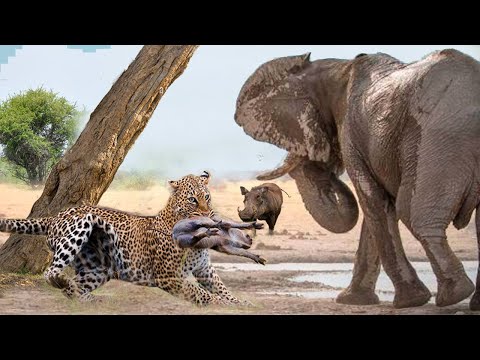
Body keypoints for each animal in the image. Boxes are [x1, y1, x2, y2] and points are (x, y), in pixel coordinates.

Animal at [0, 170, 248, 306]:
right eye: (192, 200)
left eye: (207, 197)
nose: (208, 215)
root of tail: (56, 215)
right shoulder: (169, 276)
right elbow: (201, 294)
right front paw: (218, 304)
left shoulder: (205, 270)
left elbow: (223, 288)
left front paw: (242, 303)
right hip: (79, 228)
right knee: (50, 273)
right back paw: (65, 282)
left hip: (98, 270)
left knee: (73, 289)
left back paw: (90, 300)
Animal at [234, 48, 480, 310]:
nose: (328, 172)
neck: (336, 68)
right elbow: (375, 210)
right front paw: (353, 300)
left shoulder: (351, 133)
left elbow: (375, 203)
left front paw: (410, 301)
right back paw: (470, 300)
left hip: (439, 140)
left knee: (413, 213)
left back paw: (453, 295)